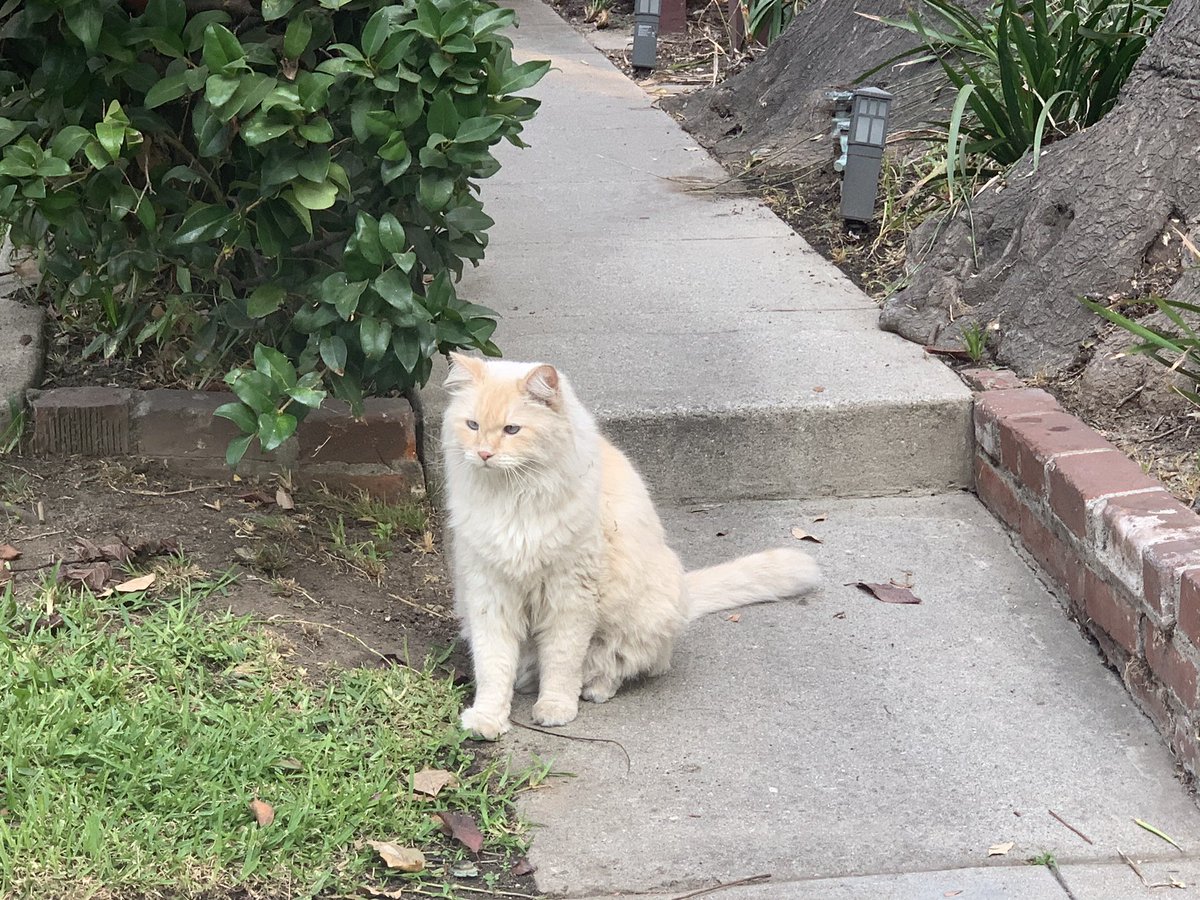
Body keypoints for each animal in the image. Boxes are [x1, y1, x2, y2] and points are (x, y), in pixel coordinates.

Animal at [444, 352, 825, 739]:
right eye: (472, 425)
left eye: (512, 430)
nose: (484, 454)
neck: (512, 499)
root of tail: (684, 589)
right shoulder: (489, 592)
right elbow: (493, 666)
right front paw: (487, 720)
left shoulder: (571, 595)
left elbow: (562, 662)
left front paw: (554, 708)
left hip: (640, 618)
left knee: (620, 666)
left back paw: (595, 689)